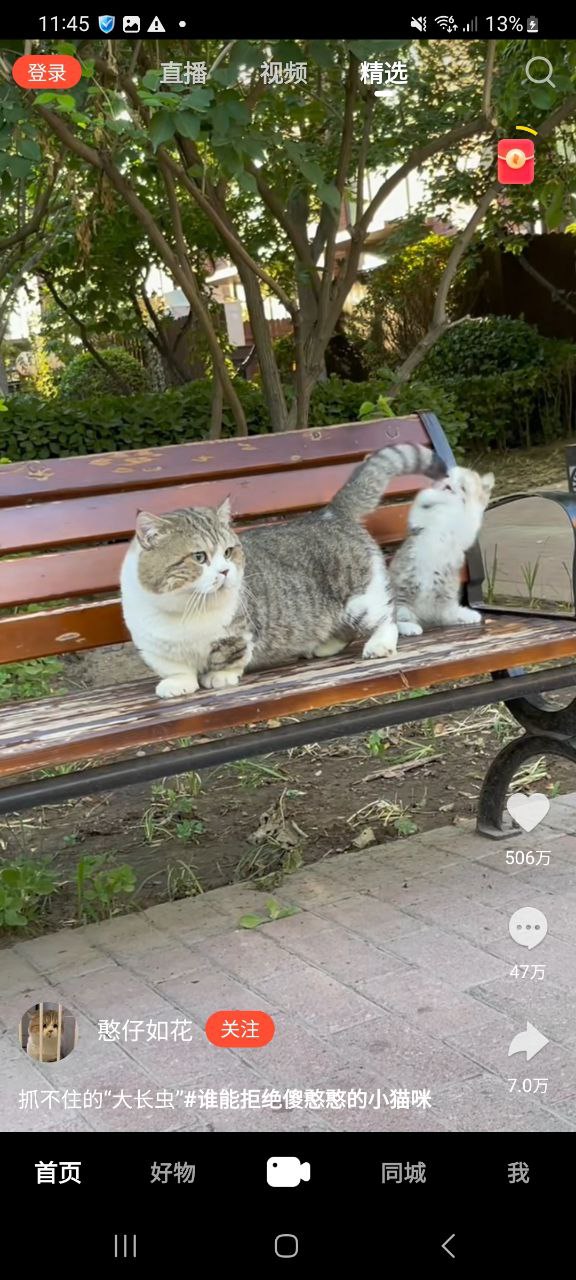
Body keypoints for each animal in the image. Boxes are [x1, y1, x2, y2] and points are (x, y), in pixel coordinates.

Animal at [121, 442, 445, 701]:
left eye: (228, 551)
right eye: (200, 557)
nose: (225, 571)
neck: (184, 610)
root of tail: (329, 513)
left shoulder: (238, 632)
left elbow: (229, 656)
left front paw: (220, 676)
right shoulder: (154, 647)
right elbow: (175, 669)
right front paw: (178, 683)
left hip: (361, 598)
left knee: (385, 618)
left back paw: (380, 644)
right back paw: (325, 645)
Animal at [391, 465, 494, 634]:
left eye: (463, 486)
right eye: (450, 477)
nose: (448, 484)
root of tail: (425, 618)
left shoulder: (466, 529)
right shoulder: (418, 523)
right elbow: (422, 503)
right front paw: (432, 493)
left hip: (445, 599)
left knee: (446, 616)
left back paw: (467, 615)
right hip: (401, 601)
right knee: (396, 621)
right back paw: (410, 628)